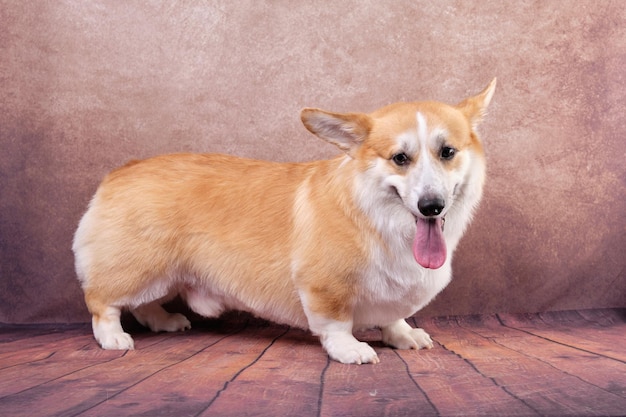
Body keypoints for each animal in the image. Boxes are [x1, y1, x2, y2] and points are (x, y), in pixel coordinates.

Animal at [72, 79, 492, 362]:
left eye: (447, 151)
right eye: (400, 158)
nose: (431, 206)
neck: (379, 220)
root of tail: (122, 171)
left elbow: (395, 316)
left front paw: (403, 335)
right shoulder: (323, 287)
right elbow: (335, 324)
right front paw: (351, 350)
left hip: (167, 274)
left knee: (143, 306)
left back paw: (165, 322)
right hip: (140, 269)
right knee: (103, 302)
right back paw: (113, 339)